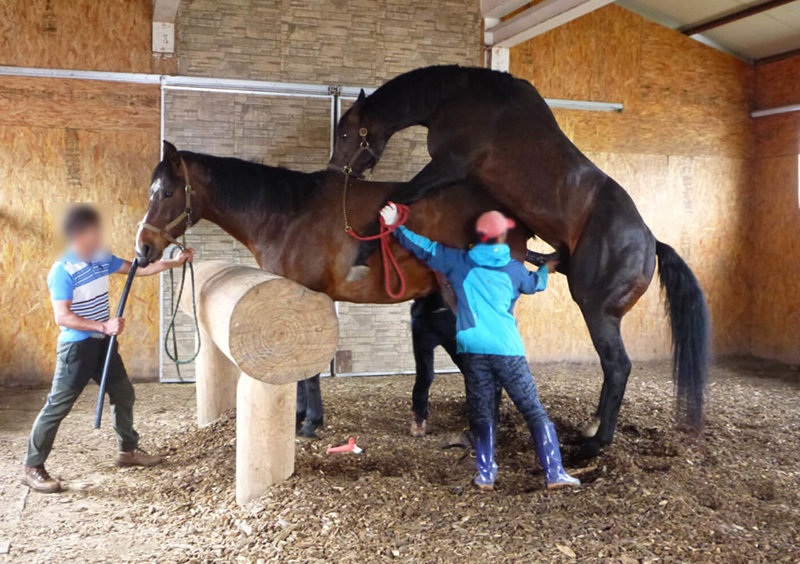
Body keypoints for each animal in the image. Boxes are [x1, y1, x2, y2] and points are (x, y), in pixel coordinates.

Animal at [329, 65, 710, 459]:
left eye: (345, 132)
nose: (336, 169)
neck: (459, 96)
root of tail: (651, 243)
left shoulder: (448, 165)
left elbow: (397, 197)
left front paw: (363, 252)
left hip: (596, 310)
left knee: (618, 366)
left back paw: (594, 444)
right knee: (611, 368)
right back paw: (590, 428)